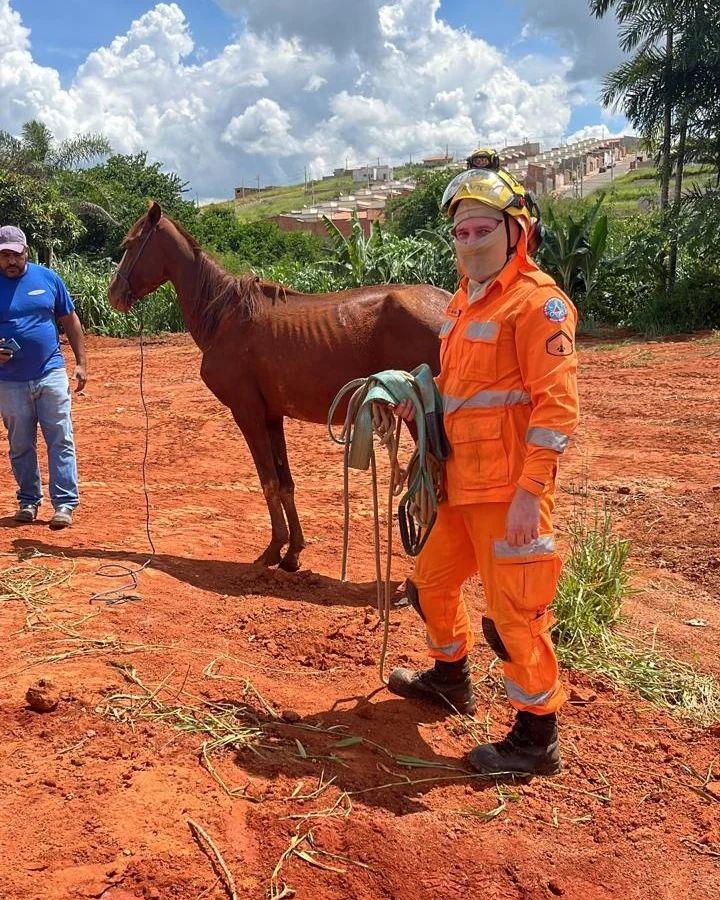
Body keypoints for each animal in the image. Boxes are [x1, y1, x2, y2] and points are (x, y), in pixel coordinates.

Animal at [107, 202, 448, 568]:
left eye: (129, 244)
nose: (113, 295)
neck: (225, 317)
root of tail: (447, 305)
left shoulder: (248, 413)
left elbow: (268, 480)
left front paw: (273, 549)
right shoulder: (272, 416)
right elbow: (285, 483)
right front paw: (293, 552)